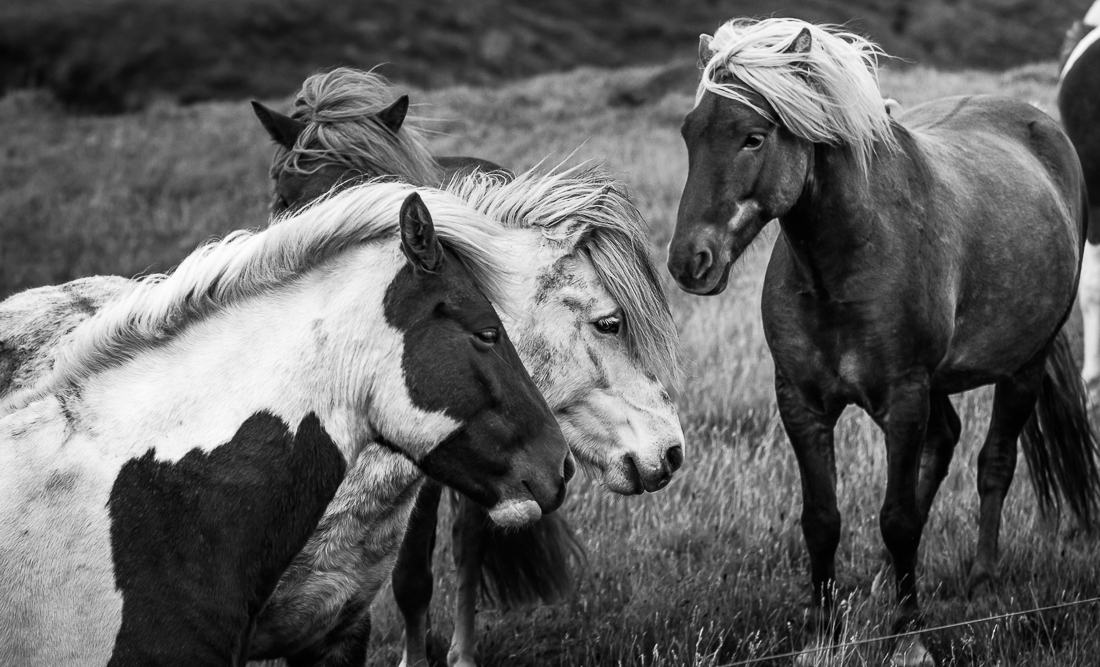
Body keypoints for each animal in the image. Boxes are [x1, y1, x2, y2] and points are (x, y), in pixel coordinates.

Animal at [666, 18, 1098, 666]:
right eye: (691, 133)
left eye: (753, 138)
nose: (689, 261)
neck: (845, 263)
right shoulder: (801, 402)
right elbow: (822, 519)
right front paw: (822, 630)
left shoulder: (903, 398)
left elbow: (897, 519)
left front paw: (907, 635)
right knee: (945, 443)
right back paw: (881, 580)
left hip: (1023, 366)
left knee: (994, 463)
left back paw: (981, 580)